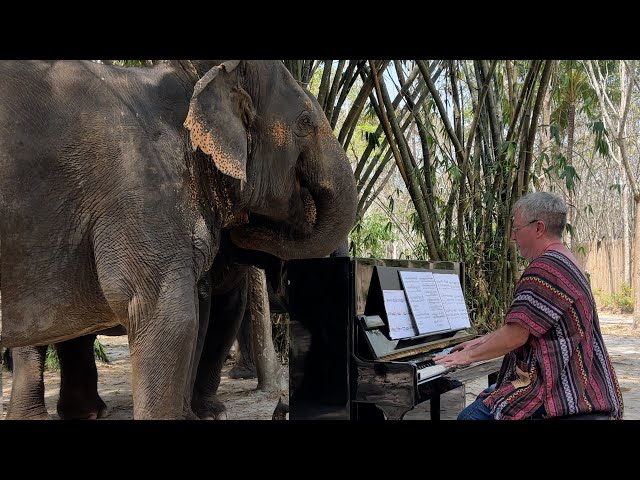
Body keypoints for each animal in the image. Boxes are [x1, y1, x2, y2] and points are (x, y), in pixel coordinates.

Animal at [0, 61, 356, 420]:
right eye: (305, 122)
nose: (244, 226)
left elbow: (217, 312)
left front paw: (202, 414)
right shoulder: (144, 198)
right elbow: (176, 318)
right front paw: (203, 414)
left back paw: (86, 413)